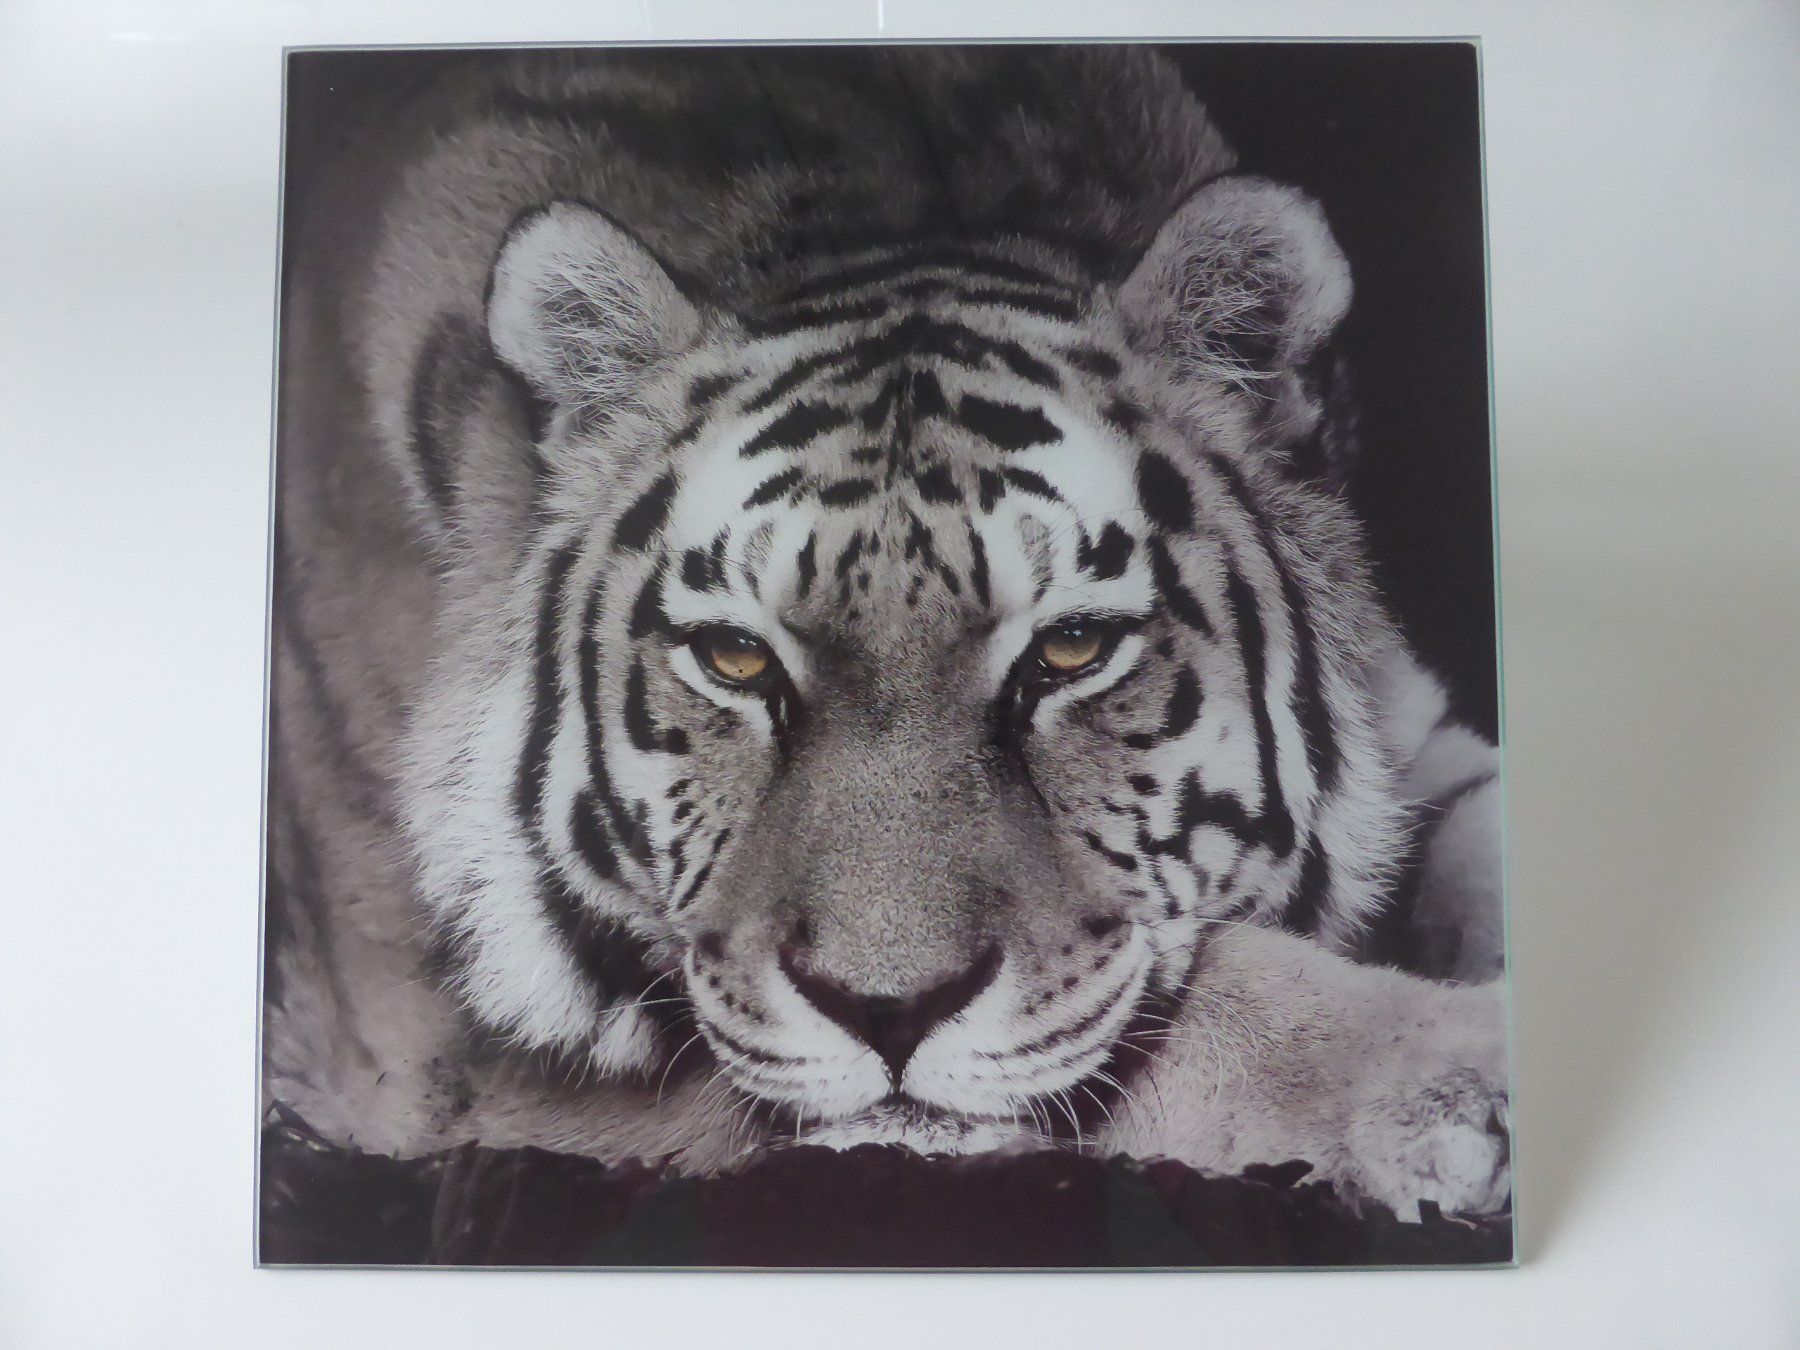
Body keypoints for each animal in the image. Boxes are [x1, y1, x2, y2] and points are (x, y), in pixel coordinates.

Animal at [265, 44, 1510, 1220]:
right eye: (735, 659)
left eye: (1070, 650)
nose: (890, 1011)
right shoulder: (463, 1059)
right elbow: (1201, 1014)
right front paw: (1450, 1073)